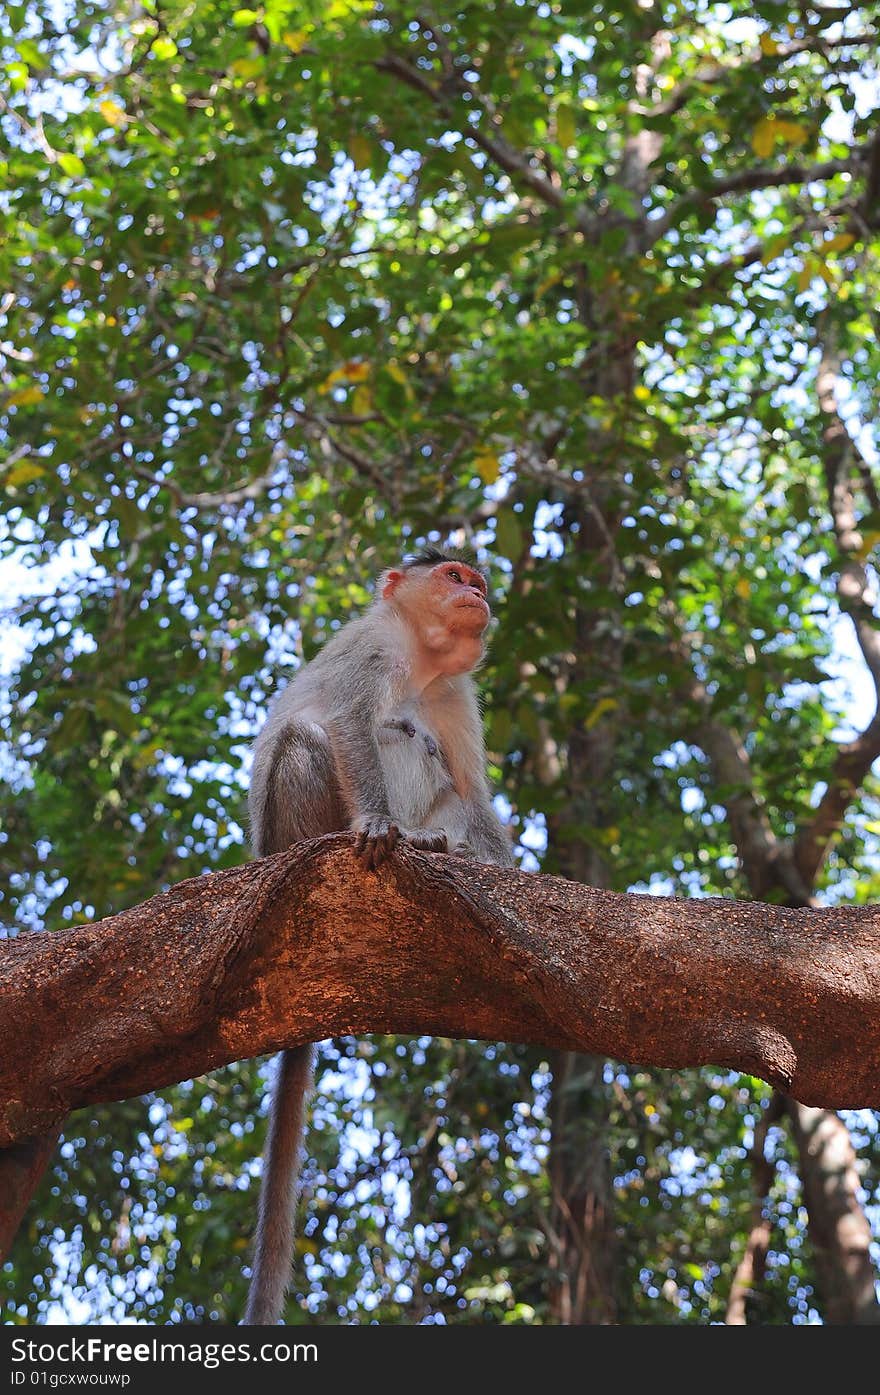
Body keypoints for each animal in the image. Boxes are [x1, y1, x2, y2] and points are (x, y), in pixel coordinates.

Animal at [241, 546, 516, 1328]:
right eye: (453, 575)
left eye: (475, 581)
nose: (477, 594)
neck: (422, 662)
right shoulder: (371, 648)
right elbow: (348, 725)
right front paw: (373, 825)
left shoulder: (456, 694)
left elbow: (472, 791)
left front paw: (504, 866)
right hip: (287, 833)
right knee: (314, 737)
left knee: (438, 776)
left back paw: (438, 846)